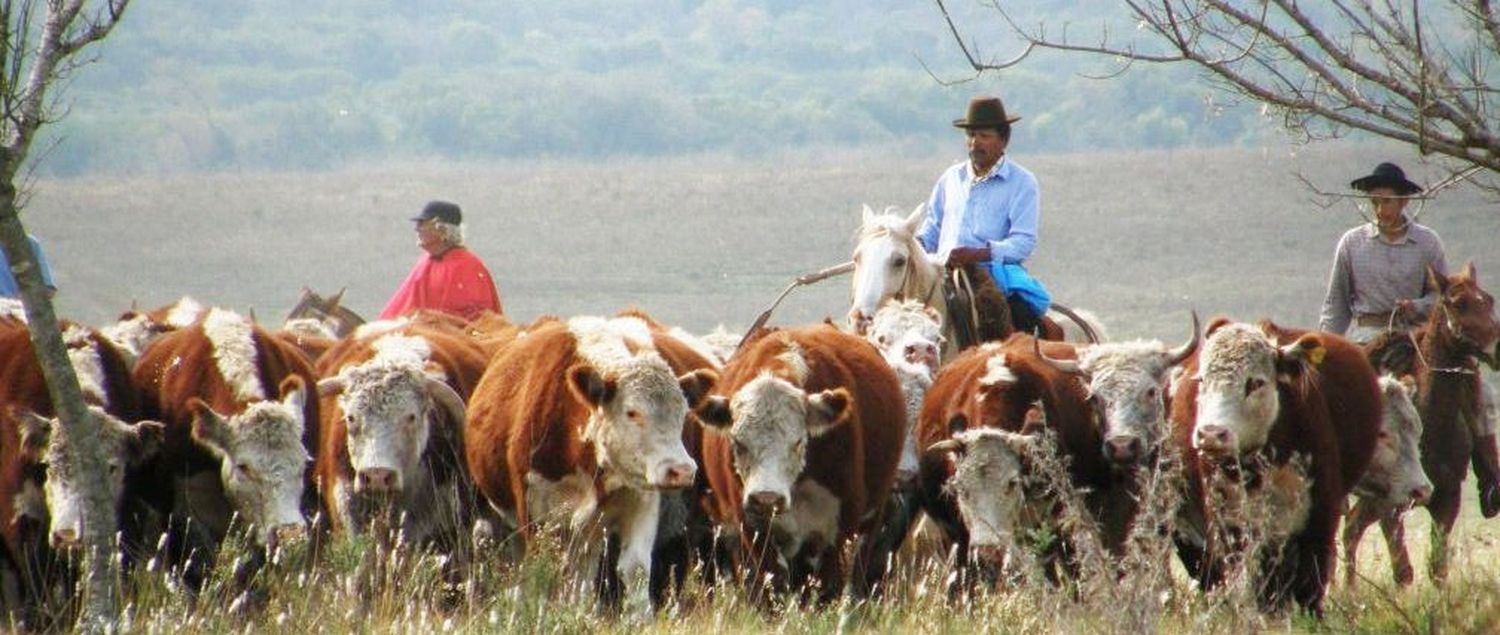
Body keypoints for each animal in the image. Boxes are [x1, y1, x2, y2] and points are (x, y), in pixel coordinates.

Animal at [465, 315, 717, 618]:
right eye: (632, 412)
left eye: (682, 412)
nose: (681, 470)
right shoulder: (536, 515)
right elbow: (542, 573)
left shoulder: (641, 501)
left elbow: (636, 569)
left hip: (590, 530)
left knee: (579, 577)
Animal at [690, 325, 900, 603]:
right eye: (737, 442)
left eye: (799, 441)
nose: (767, 498)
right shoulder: (754, 529)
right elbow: (773, 585)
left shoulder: (835, 532)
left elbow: (825, 589)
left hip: (872, 519)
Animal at [1170, 321, 1380, 615]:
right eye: (1202, 380)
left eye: (1255, 382)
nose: (1211, 435)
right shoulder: (1227, 520)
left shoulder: (1320, 516)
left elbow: (1310, 581)